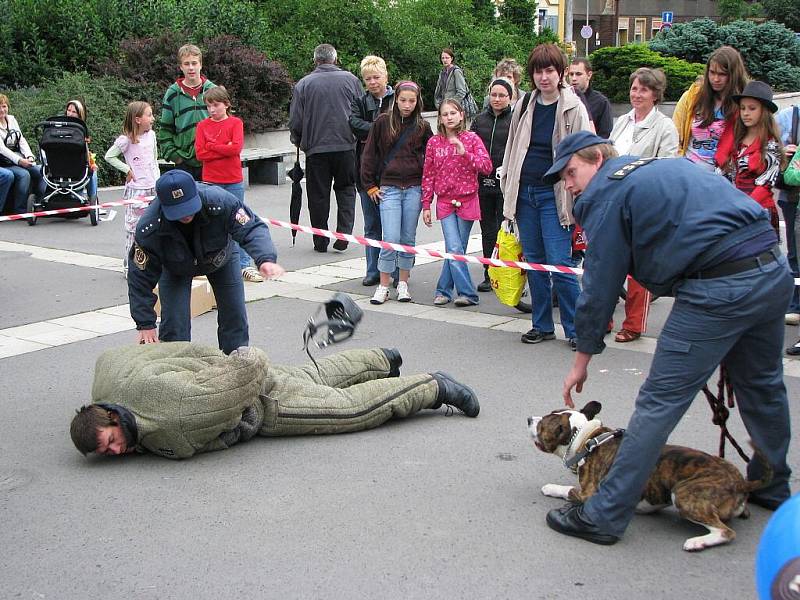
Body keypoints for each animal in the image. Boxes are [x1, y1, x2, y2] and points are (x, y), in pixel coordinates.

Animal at [528, 400, 772, 552]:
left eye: (542, 425)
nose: (529, 418)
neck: (587, 438)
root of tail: (741, 483)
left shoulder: (589, 492)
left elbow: (567, 490)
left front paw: (550, 488)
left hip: (684, 495)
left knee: (725, 532)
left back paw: (697, 542)